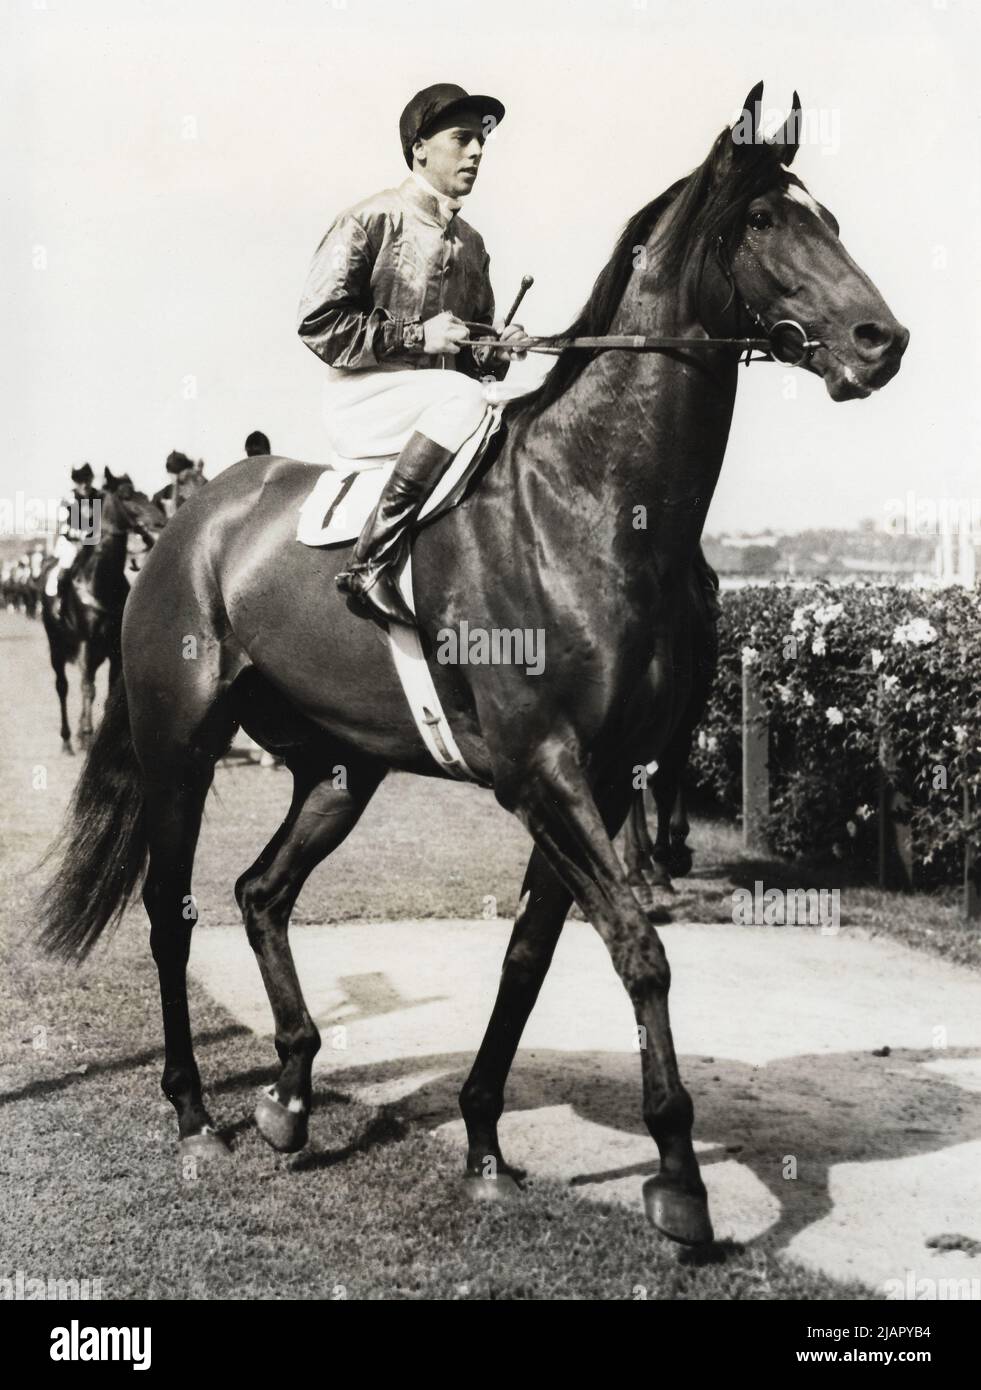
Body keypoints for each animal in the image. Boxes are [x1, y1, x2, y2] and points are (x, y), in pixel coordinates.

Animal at [40, 480, 163, 761]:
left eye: (143, 494)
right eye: (127, 495)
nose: (160, 521)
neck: (100, 582)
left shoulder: (113, 650)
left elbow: (106, 694)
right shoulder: (87, 644)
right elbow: (87, 688)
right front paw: (86, 734)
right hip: (56, 647)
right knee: (63, 686)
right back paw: (68, 738)